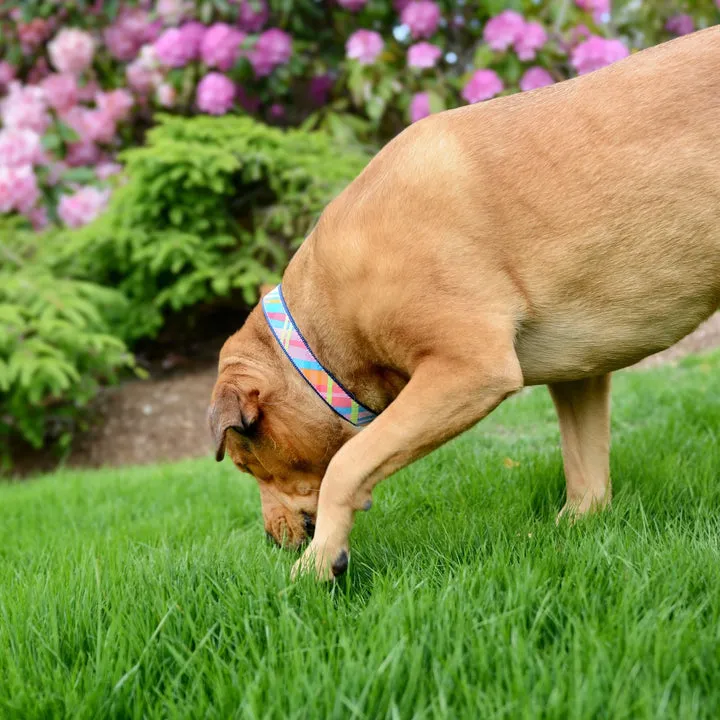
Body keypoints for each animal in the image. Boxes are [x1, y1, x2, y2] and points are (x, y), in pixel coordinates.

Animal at [208, 26, 720, 580]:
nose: (271, 539)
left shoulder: (470, 370)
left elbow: (347, 463)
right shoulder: (579, 375)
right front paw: (571, 530)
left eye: (246, 464)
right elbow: (587, 480)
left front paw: (319, 562)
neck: (322, 326)